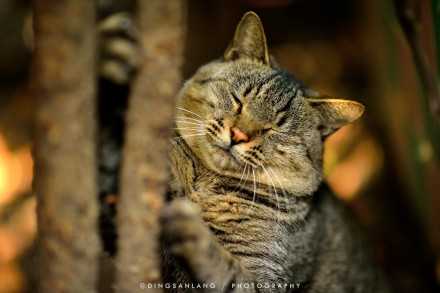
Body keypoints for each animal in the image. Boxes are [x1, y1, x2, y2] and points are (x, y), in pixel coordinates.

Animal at [161, 10, 388, 290]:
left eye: (276, 127)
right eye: (239, 100)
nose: (238, 135)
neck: (207, 183)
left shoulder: (266, 279)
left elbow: (224, 266)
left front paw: (191, 229)